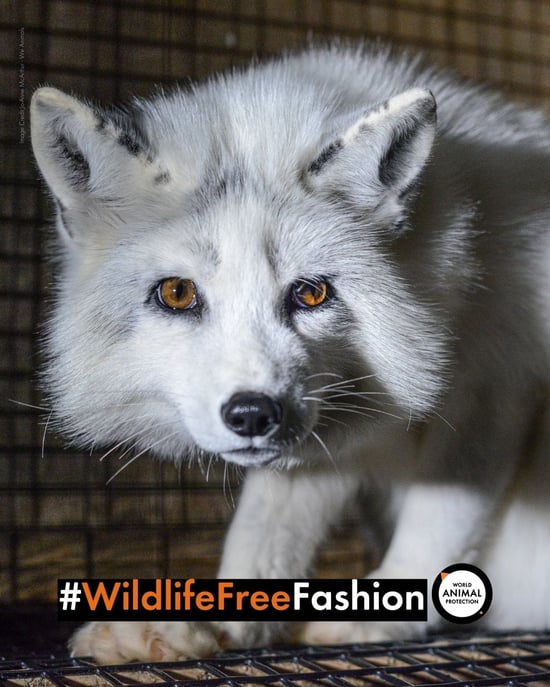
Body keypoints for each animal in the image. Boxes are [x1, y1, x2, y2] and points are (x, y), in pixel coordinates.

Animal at [30, 43, 550, 663]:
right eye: (177, 293)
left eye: (311, 293)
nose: (255, 414)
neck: (454, 283)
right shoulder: (326, 434)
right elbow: (261, 541)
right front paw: (219, 629)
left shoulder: (493, 391)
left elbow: (438, 524)